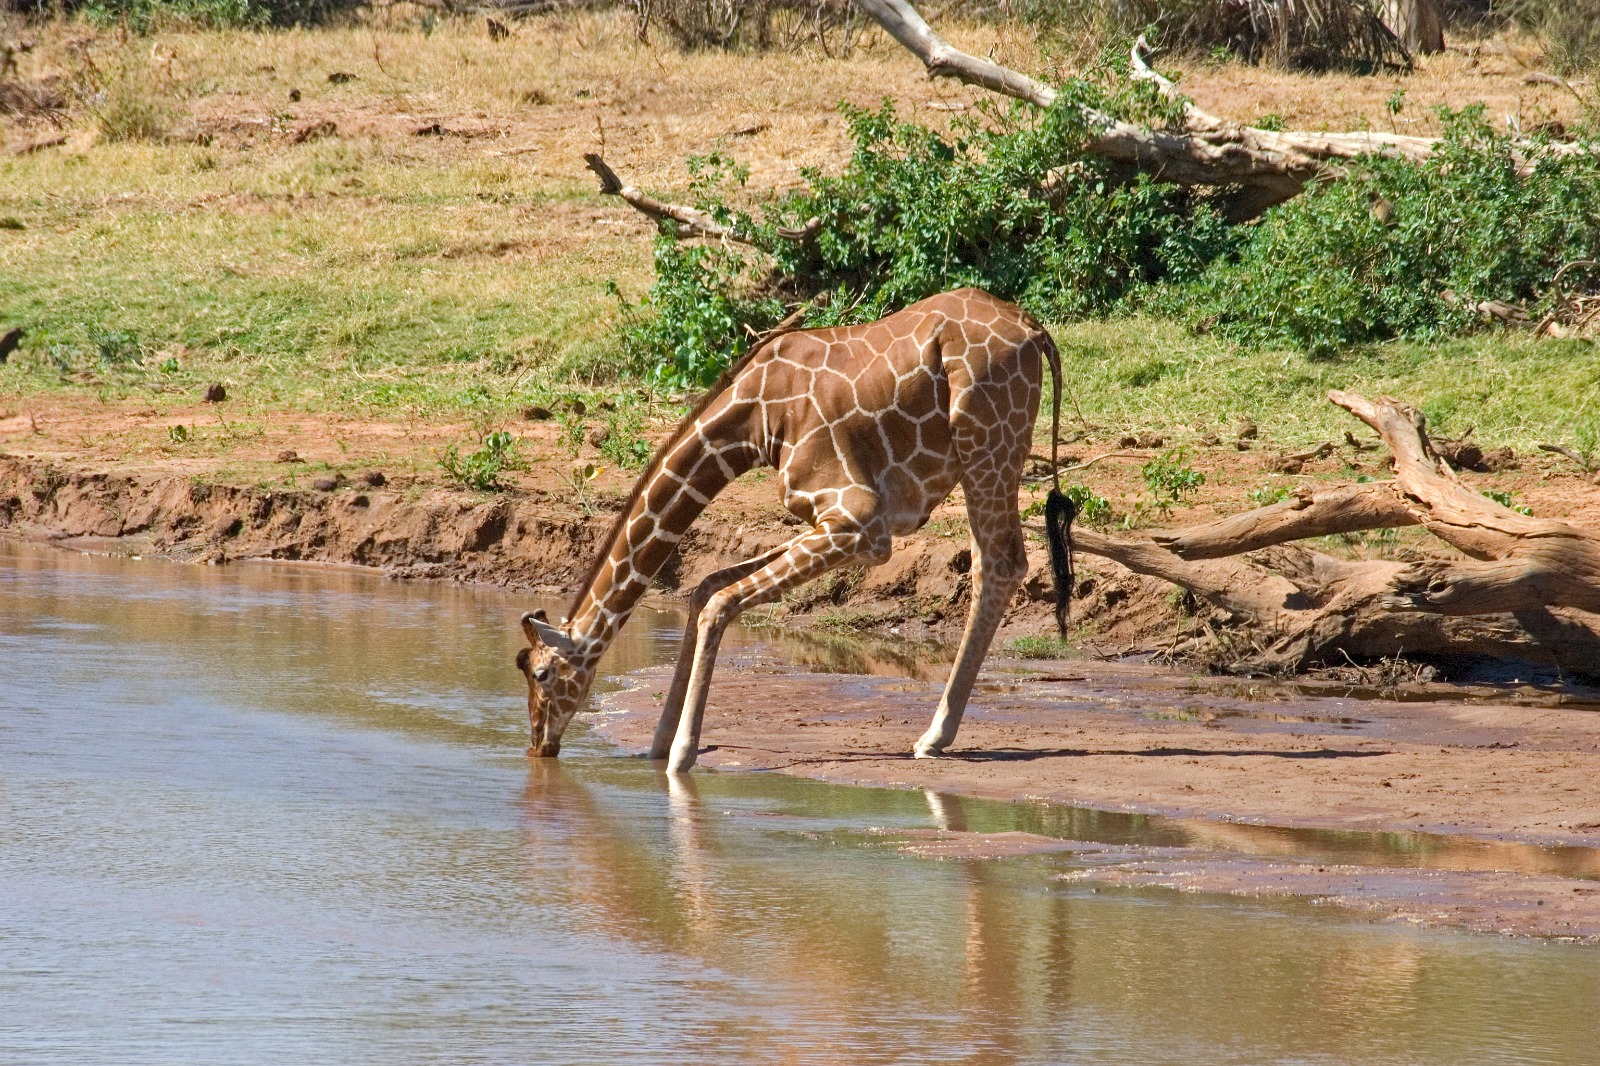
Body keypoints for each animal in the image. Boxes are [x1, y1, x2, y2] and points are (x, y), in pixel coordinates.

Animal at [516, 287, 1076, 772]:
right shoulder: (834, 522)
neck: (754, 421)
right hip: (985, 456)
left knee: (1003, 563)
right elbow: (704, 589)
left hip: (987, 445)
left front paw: (681, 756)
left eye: (540, 672)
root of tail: (1035, 329)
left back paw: (934, 736)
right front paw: (656, 745)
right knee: (990, 564)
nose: (538, 745)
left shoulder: (860, 522)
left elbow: (719, 603)